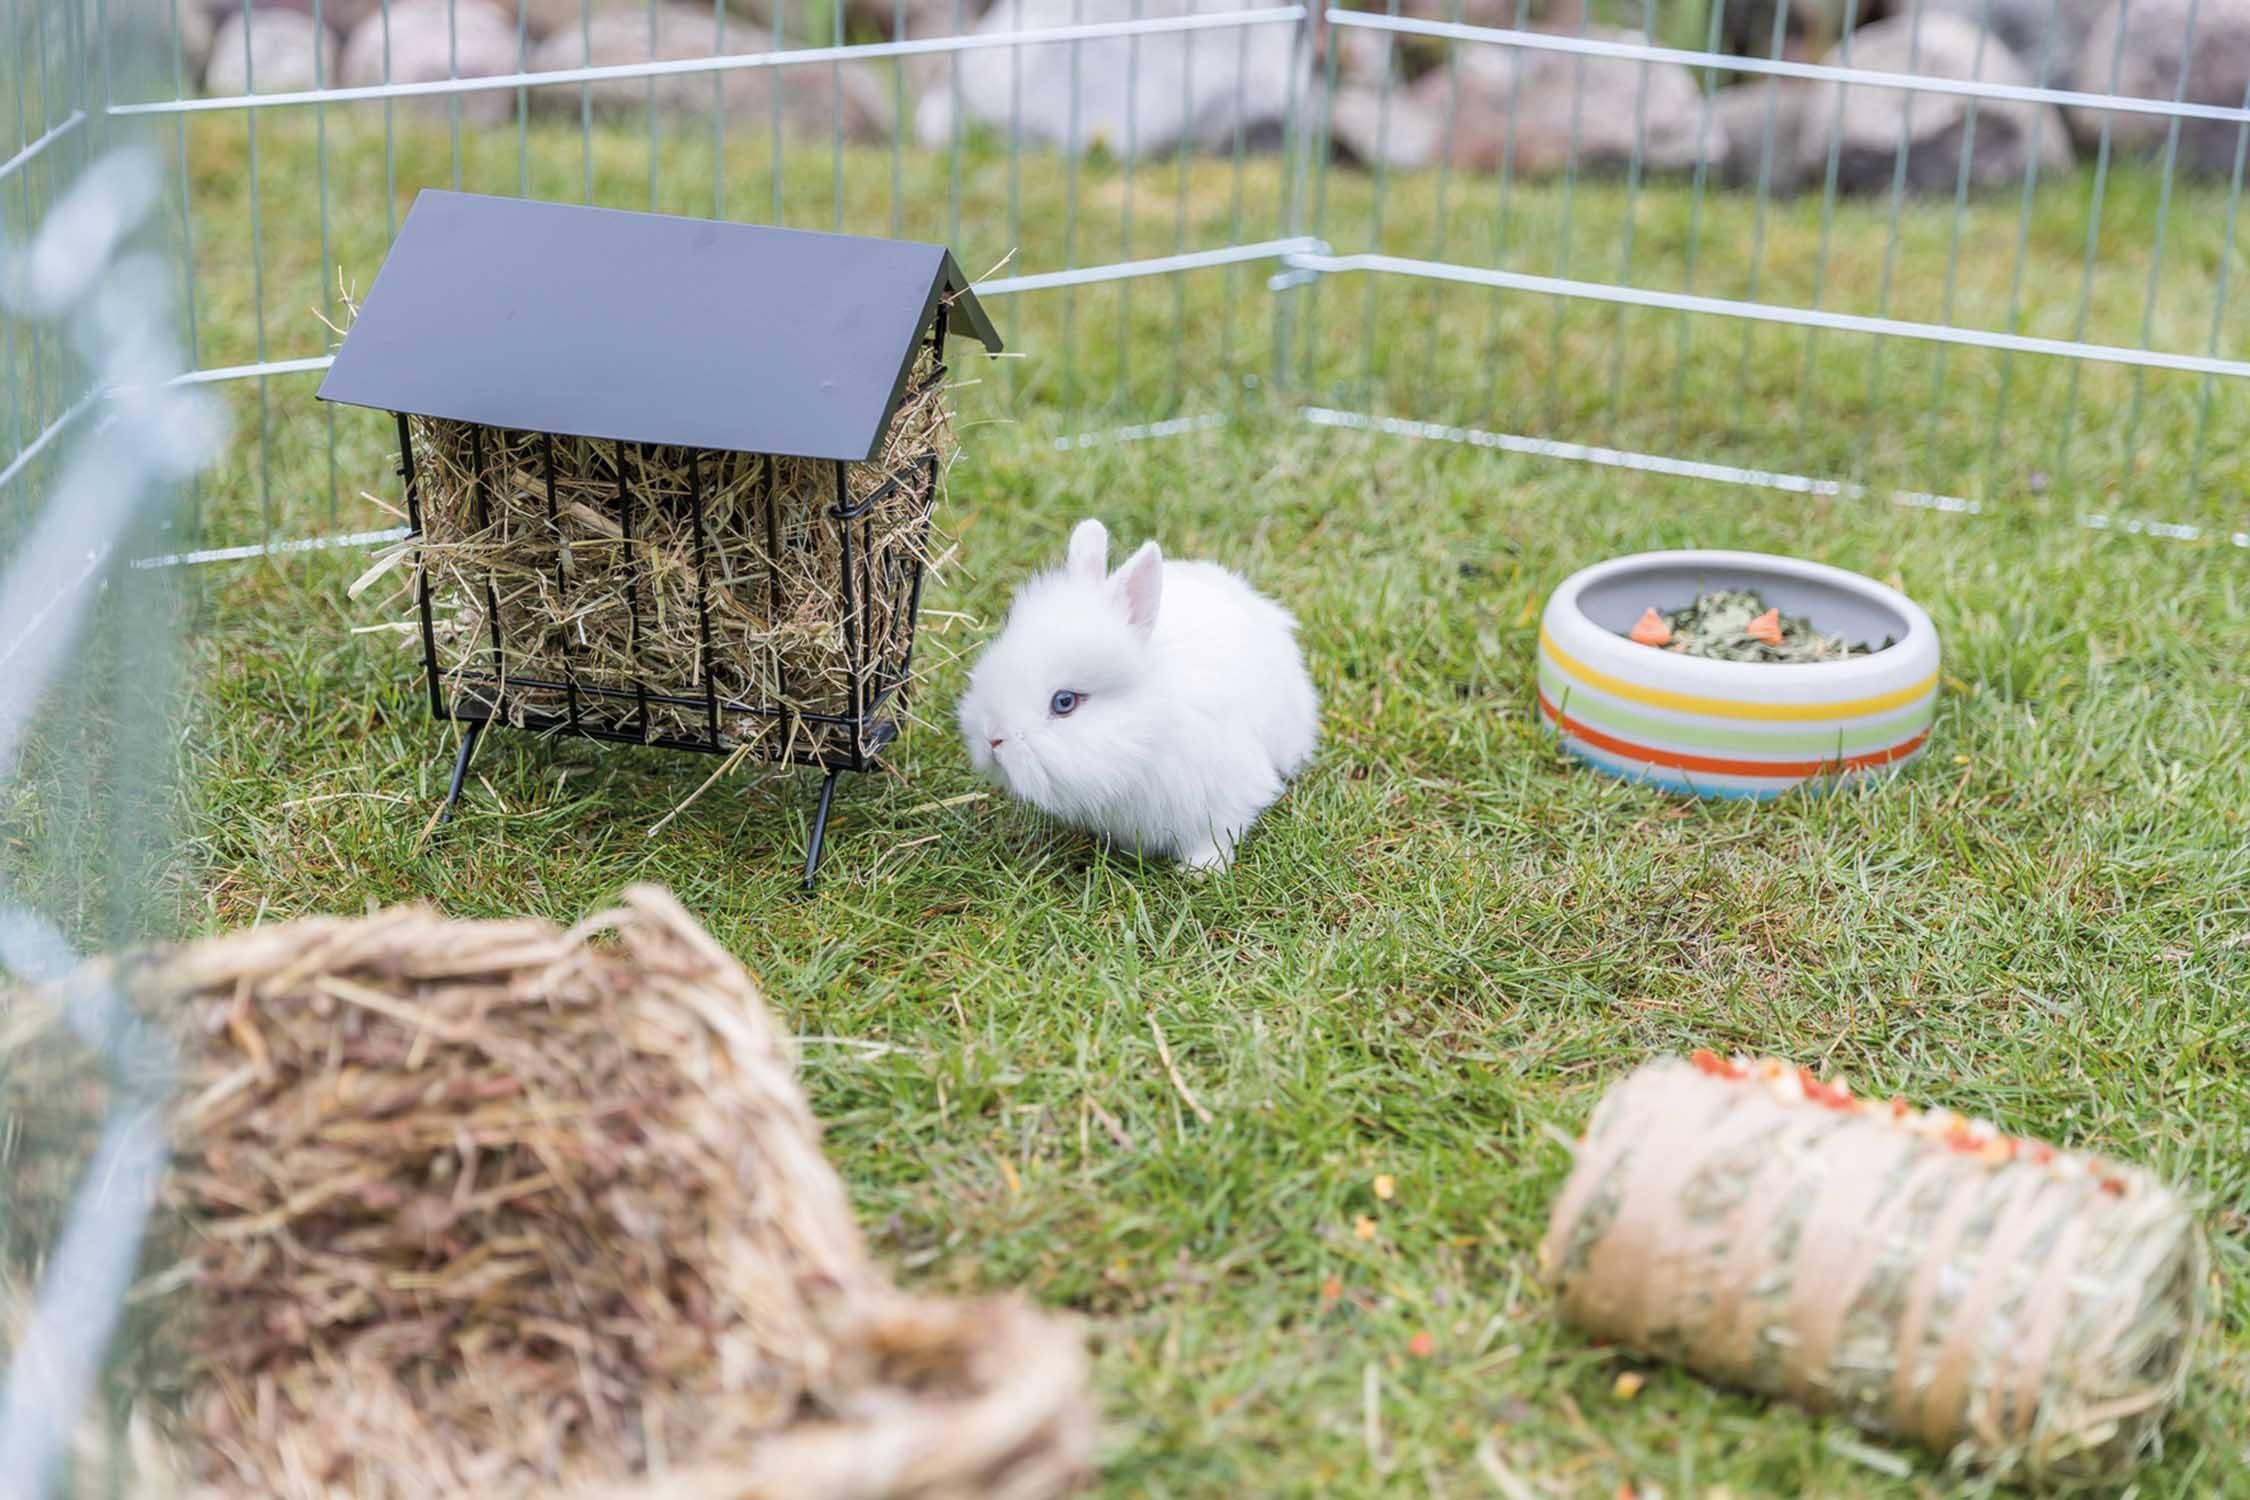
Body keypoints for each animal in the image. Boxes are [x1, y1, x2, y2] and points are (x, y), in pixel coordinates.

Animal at [954, 517, 1314, 868]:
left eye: (1064, 702)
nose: (993, 738)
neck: (1146, 731)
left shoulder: (1225, 789)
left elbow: (1214, 834)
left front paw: (1201, 869)